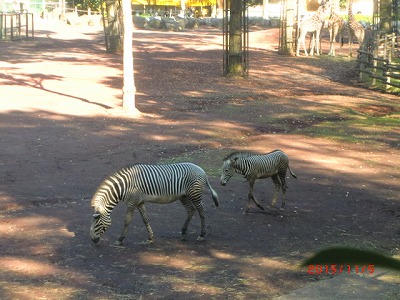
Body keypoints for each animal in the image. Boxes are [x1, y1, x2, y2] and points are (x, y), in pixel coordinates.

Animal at [90, 163, 219, 245]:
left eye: (97, 223)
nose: (92, 240)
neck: (124, 187)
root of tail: (202, 170)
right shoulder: (139, 202)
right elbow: (145, 219)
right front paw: (150, 238)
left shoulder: (132, 202)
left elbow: (127, 221)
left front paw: (120, 239)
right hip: (184, 196)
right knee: (191, 210)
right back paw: (183, 233)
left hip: (194, 194)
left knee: (201, 212)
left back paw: (202, 235)